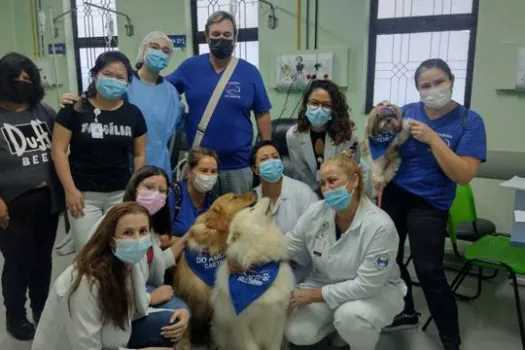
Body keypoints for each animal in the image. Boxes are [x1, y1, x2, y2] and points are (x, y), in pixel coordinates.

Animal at [211, 197, 296, 350]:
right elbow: (250, 345)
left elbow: (275, 345)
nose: (265, 197)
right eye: (251, 209)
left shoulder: (279, 318)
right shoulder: (241, 323)